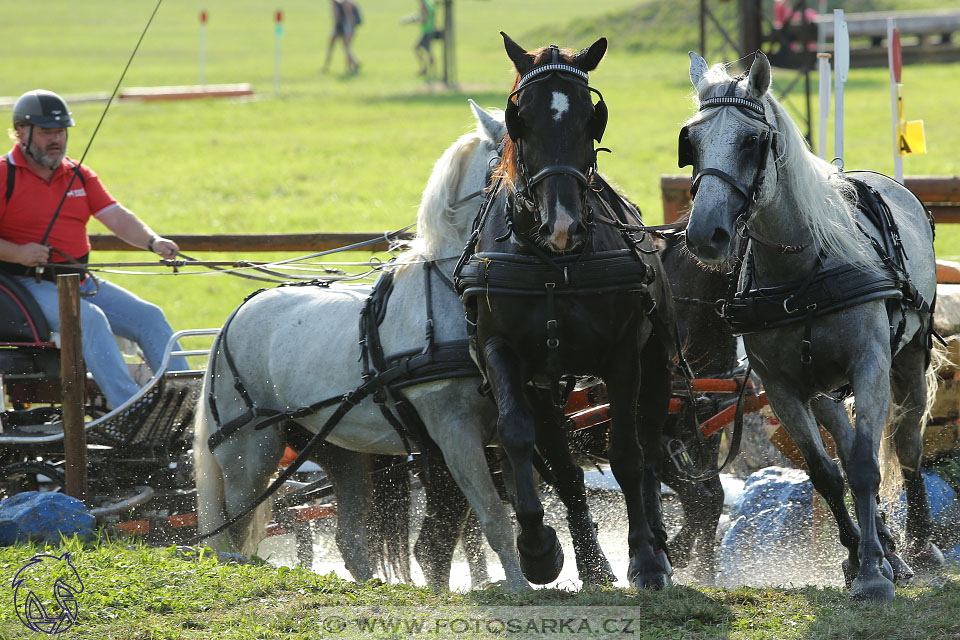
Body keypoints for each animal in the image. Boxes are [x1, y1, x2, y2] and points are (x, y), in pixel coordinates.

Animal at [456, 32, 676, 588]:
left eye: (589, 117)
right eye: (521, 117)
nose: (562, 225)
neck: (552, 263)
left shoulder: (623, 355)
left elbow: (626, 455)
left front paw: (644, 558)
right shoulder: (500, 351)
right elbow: (517, 438)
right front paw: (537, 549)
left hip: (657, 362)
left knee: (650, 449)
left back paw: (656, 543)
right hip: (545, 386)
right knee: (565, 469)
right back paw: (592, 565)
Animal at [680, 52, 940, 604]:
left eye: (751, 141)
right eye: (691, 141)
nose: (706, 234)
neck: (802, 271)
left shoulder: (869, 365)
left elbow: (865, 465)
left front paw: (872, 574)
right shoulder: (782, 387)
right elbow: (827, 472)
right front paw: (858, 557)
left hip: (908, 355)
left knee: (906, 442)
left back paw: (920, 546)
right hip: (822, 387)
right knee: (843, 439)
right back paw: (886, 546)